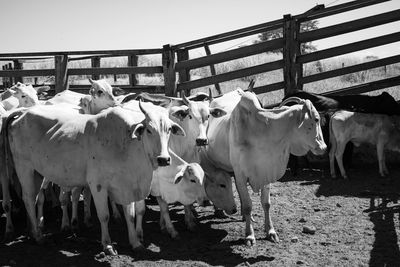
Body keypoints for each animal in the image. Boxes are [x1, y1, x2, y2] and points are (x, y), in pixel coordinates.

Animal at [3, 101, 185, 255]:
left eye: (169, 129)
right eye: (149, 130)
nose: (163, 159)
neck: (128, 145)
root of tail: (23, 112)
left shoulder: (126, 186)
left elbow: (130, 216)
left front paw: (135, 243)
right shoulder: (98, 185)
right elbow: (104, 215)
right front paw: (108, 245)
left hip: (38, 172)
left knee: (33, 198)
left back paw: (32, 230)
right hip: (24, 167)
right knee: (27, 198)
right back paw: (38, 236)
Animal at [202, 90, 326, 247]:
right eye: (316, 119)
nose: (324, 147)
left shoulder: (266, 172)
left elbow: (266, 204)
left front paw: (270, 231)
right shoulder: (241, 174)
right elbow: (248, 205)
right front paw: (249, 235)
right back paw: (219, 210)